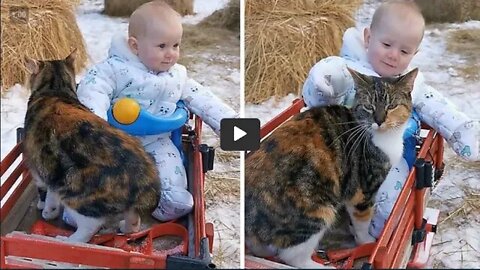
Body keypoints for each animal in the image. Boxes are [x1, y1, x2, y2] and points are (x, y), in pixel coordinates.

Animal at [23, 50, 159, 243]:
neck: (55, 90)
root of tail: (144, 179)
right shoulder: (50, 168)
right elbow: (51, 193)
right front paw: (50, 210)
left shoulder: (37, 166)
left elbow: (44, 190)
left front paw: (45, 209)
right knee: (134, 220)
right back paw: (125, 227)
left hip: (73, 189)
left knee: (90, 227)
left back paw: (67, 240)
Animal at [246, 68, 418, 268]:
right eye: (369, 106)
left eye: (392, 106)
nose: (379, 121)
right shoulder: (363, 190)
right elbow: (362, 221)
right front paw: (366, 242)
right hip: (316, 210)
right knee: (292, 256)